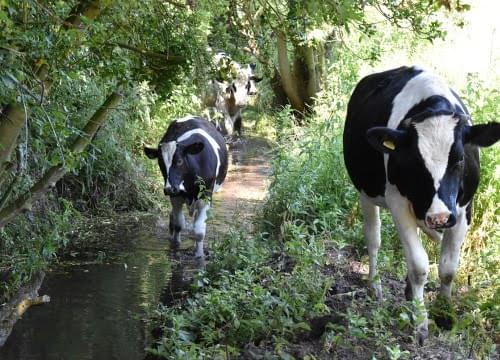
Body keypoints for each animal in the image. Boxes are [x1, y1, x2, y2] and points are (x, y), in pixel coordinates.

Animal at [143, 116, 229, 258]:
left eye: (179, 161)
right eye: (160, 163)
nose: (168, 189)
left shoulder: (205, 196)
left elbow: (199, 232)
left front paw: (199, 255)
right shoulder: (176, 196)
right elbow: (179, 224)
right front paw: (175, 245)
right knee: (174, 218)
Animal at [344, 66, 500, 344]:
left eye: (460, 159)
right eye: (414, 162)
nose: (439, 217)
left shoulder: (463, 209)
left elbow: (448, 267)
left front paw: (444, 314)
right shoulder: (398, 204)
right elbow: (419, 265)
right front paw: (420, 323)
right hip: (365, 192)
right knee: (373, 239)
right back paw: (375, 285)